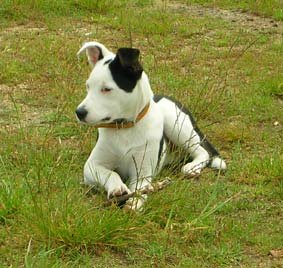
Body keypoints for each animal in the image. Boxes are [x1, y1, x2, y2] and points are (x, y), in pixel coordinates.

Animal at [75, 40, 226, 210]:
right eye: (88, 86)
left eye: (107, 89)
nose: (79, 112)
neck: (124, 128)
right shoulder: (91, 166)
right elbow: (110, 173)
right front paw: (117, 188)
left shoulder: (142, 173)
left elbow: (139, 189)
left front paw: (134, 202)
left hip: (176, 124)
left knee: (203, 151)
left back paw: (192, 167)